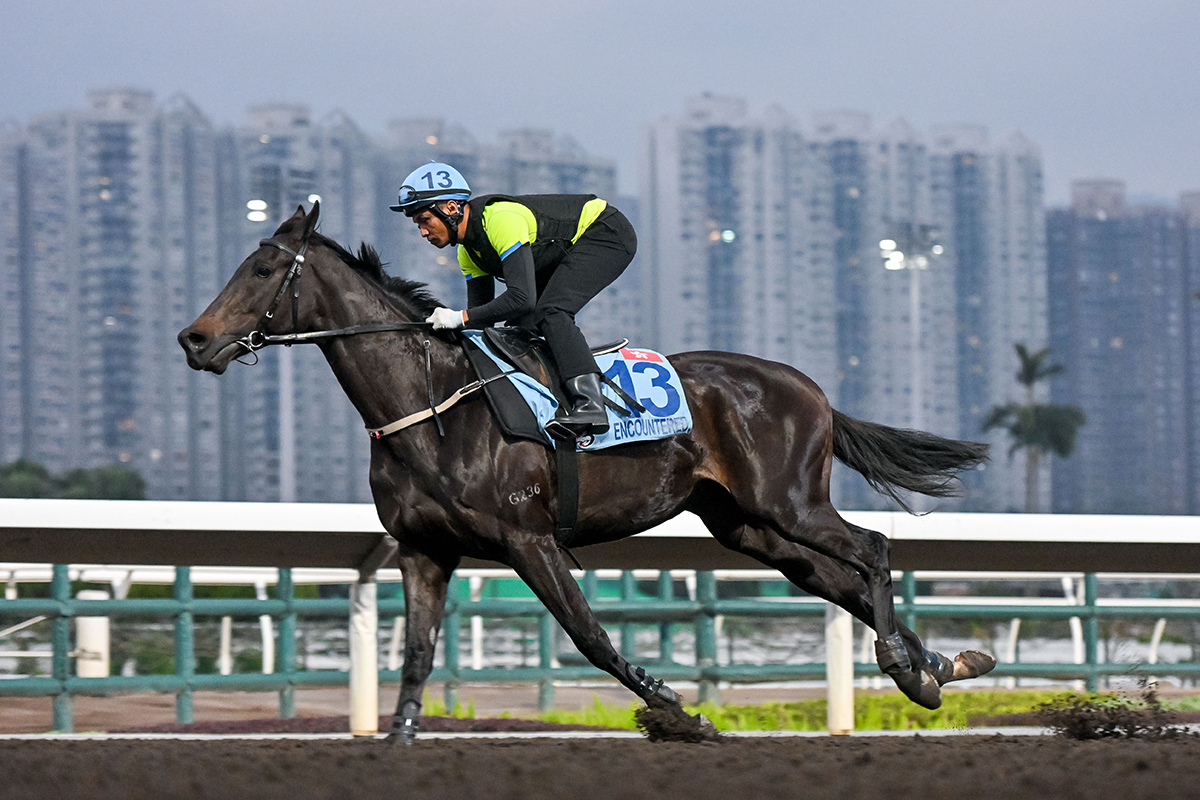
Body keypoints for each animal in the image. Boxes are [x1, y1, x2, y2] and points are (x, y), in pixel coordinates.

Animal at [177, 203, 998, 743]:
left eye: (261, 269)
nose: (194, 339)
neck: (430, 404)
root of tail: (812, 389)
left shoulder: (528, 538)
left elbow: (589, 636)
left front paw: (679, 713)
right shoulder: (422, 550)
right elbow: (413, 655)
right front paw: (400, 738)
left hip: (789, 503)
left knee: (872, 551)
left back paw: (905, 663)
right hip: (748, 527)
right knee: (835, 579)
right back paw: (937, 667)